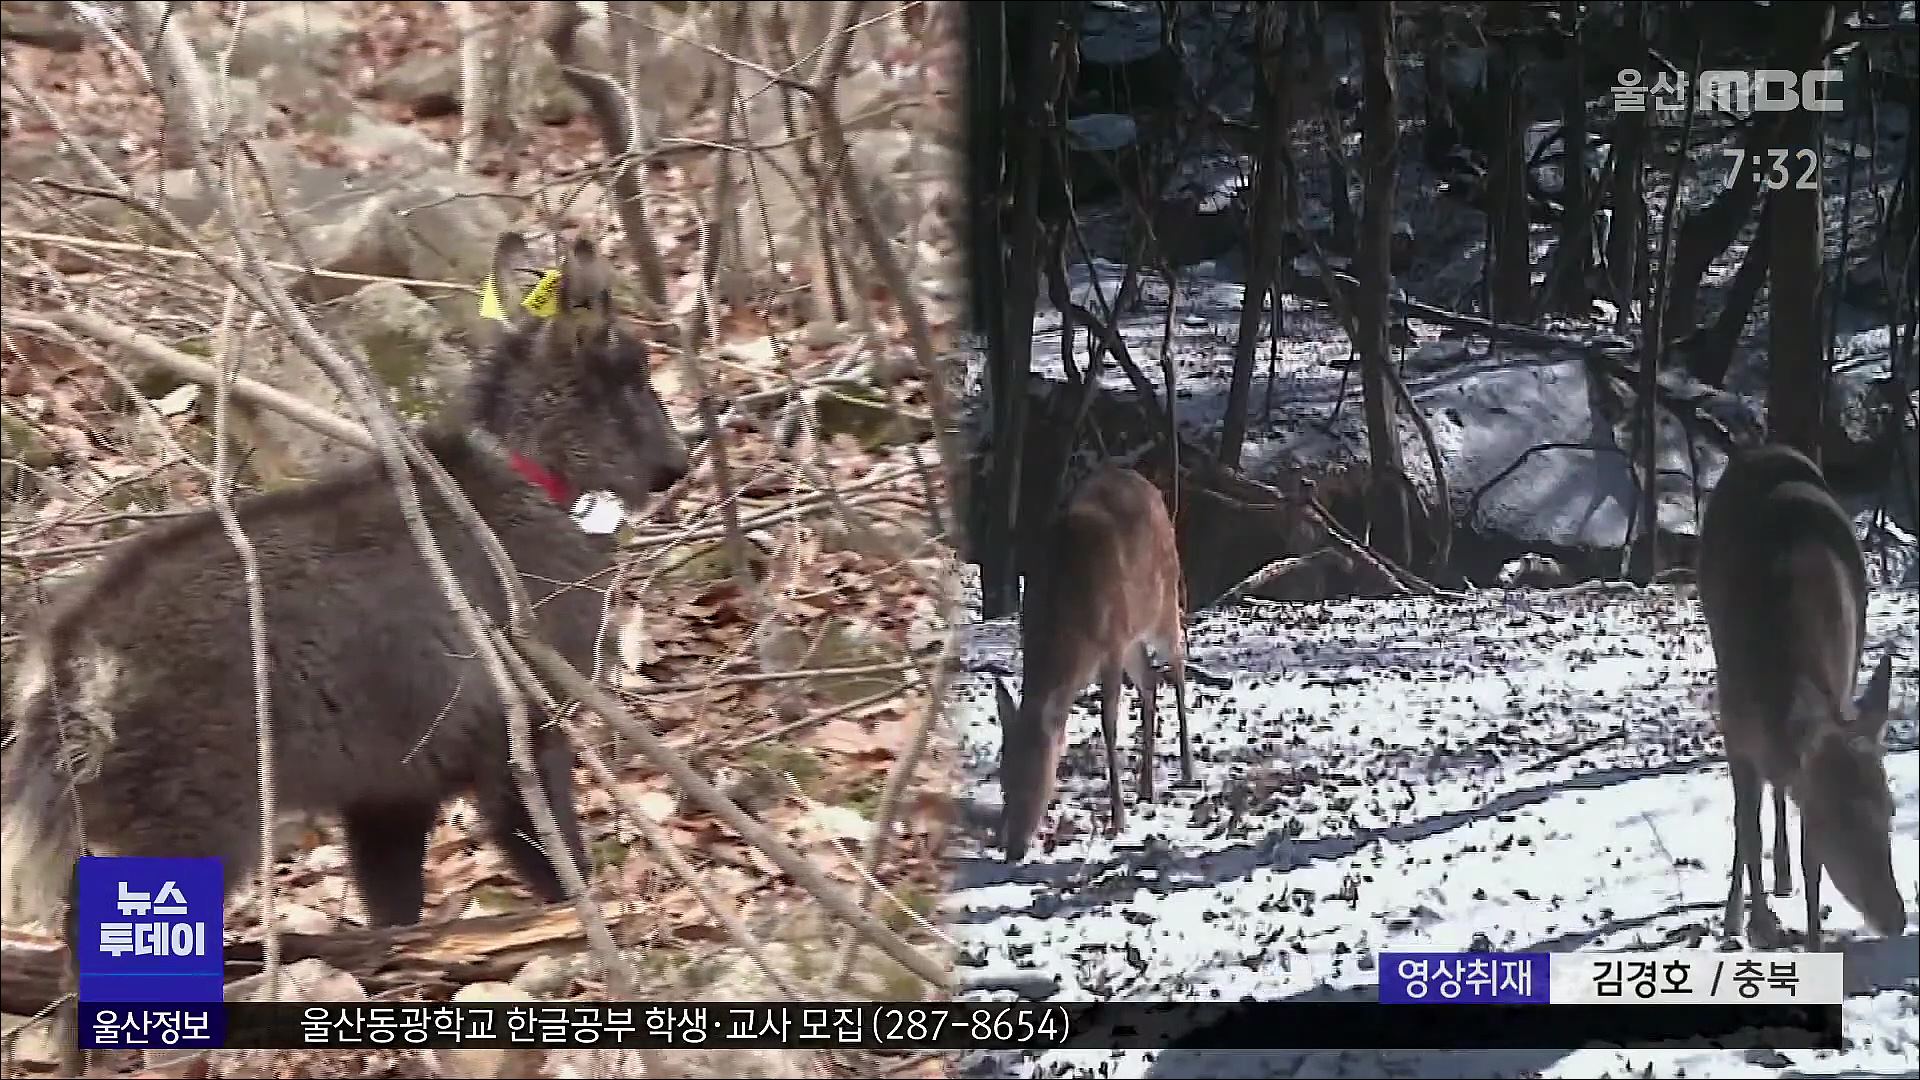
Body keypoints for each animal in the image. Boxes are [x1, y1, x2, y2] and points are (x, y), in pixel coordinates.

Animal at [1, 231, 691, 1073]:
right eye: (632, 378)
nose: (679, 464)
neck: (529, 491)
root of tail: (73, 666)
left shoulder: (390, 786)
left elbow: (395, 911)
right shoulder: (518, 730)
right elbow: (554, 863)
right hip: (189, 830)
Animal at [993, 463, 1193, 862]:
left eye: (1038, 778)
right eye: (1004, 780)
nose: (1014, 850)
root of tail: (1152, 488)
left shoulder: (1111, 645)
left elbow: (1109, 722)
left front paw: (1117, 818)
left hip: (1162, 604)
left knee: (1177, 665)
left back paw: (1188, 769)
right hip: (1134, 632)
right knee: (1151, 681)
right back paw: (1146, 787)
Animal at [1695, 441, 1906, 951]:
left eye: (1891, 811)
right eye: (1840, 820)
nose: (1897, 917)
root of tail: (1766, 447)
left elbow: (1811, 858)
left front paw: (1813, 939)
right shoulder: (1733, 729)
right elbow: (1746, 829)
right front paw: (1759, 925)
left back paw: (1784, 874)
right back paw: (1738, 914)